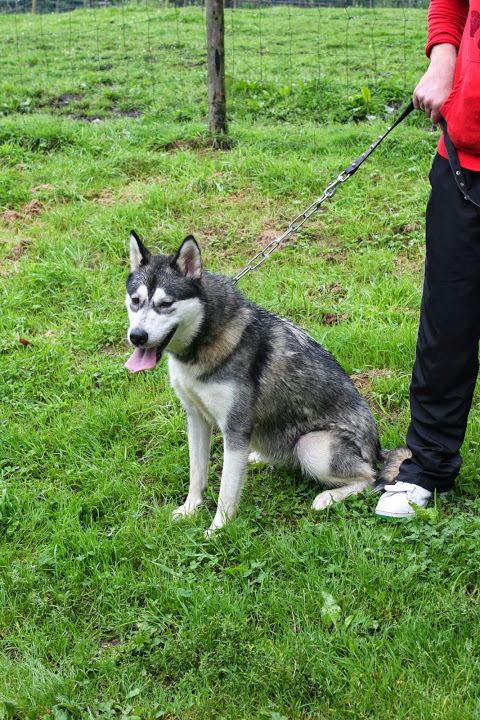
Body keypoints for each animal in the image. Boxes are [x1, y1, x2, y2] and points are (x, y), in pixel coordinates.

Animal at [124, 233, 408, 532]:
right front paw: (190, 509)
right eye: (135, 300)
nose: (137, 336)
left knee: (370, 477)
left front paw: (218, 530)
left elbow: (226, 490)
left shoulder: (236, 427)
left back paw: (328, 497)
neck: (203, 343)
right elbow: (196, 474)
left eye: (166, 304)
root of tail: (376, 448)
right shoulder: (196, 418)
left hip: (312, 446)